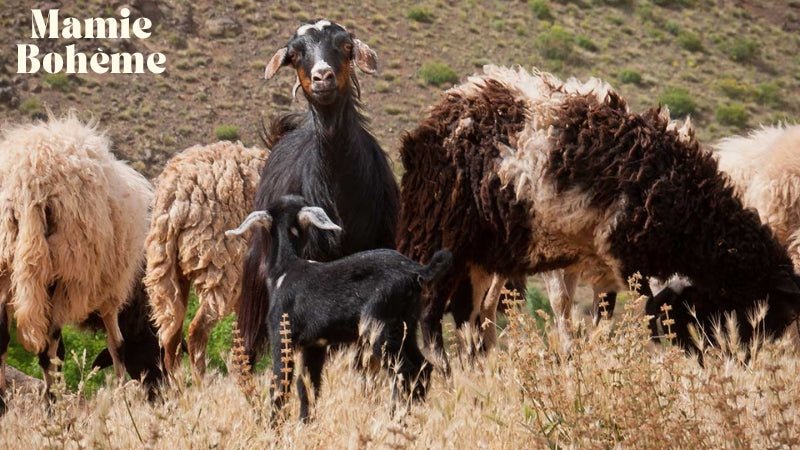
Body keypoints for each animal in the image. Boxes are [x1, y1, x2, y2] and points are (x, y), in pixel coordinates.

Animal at [0, 114, 153, 402]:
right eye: (156, 347)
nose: (160, 389)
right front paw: (120, 391)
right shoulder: (110, 291)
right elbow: (117, 345)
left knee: (5, 337)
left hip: (10, 264)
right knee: (50, 349)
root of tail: (29, 180)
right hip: (62, 269)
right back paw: (53, 401)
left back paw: (7, 398)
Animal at [145, 141, 268, 380]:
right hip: (221, 268)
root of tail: (178, 195)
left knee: (171, 337)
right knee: (196, 331)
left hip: (166, 268)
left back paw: (179, 387)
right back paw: (203, 384)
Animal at [228, 196, 446, 422]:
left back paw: (395, 416)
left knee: (404, 370)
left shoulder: (282, 334)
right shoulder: (314, 345)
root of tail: (417, 270)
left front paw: (274, 424)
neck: (285, 268)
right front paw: (305, 423)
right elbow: (307, 386)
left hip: (379, 327)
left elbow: (280, 382)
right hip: (405, 325)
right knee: (423, 366)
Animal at [400, 64, 800, 358]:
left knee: (471, 313)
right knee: (431, 311)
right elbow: (646, 313)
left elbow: (604, 320)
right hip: (443, 234)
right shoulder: (626, 257)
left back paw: (478, 366)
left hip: (481, 253)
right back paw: (444, 370)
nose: (741, 358)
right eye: (764, 313)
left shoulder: (601, 263)